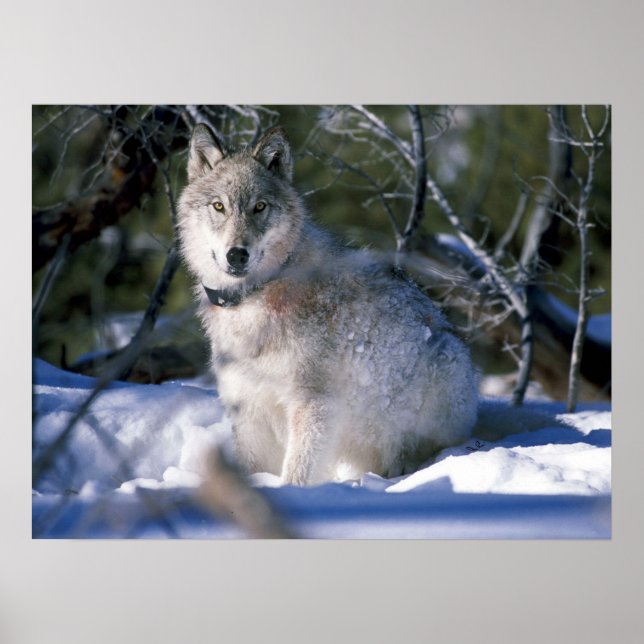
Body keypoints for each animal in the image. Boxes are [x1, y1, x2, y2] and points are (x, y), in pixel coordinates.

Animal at [178, 123, 480, 485]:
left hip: (444, 365)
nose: (237, 254)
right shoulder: (247, 406)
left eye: (259, 207)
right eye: (219, 206)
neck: (256, 296)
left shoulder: (314, 404)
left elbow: (298, 472)